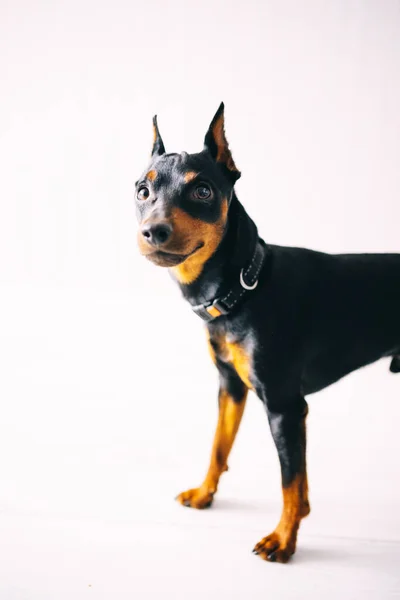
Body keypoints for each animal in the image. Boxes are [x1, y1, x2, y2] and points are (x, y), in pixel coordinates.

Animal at [135, 102, 400, 564]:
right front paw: (205, 494)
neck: (242, 289)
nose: (153, 231)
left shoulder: (283, 406)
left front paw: (283, 540)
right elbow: (219, 446)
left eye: (203, 191)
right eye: (141, 191)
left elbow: (288, 481)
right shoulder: (230, 387)